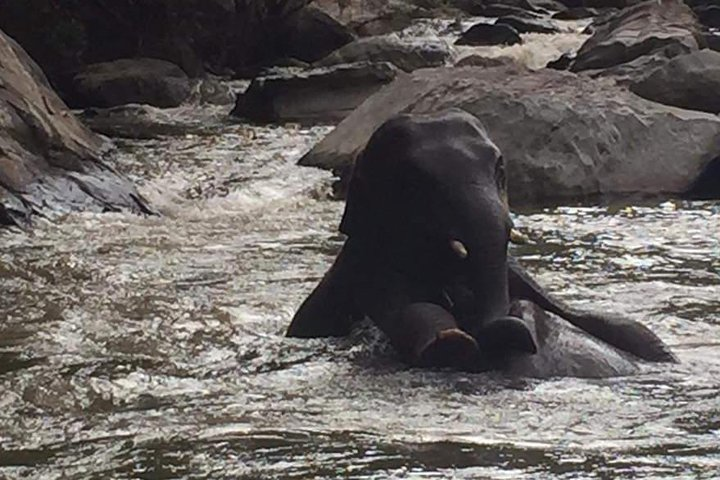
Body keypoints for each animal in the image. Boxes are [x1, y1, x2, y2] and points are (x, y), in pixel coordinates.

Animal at [286, 109, 676, 378]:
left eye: (500, 168)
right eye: (414, 182)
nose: (512, 328)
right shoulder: (370, 268)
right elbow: (419, 318)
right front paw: (456, 342)